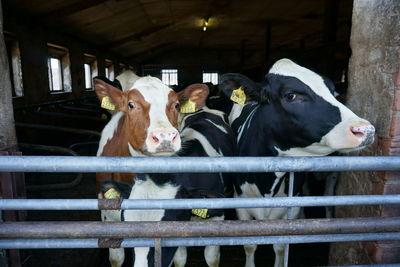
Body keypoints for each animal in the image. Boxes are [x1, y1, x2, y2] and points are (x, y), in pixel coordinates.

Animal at [219, 58, 376, 267]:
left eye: (334, 92)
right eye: (291, 95)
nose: (365, 130)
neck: (267, 184)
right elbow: (249, 245)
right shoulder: (240, 203)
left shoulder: (290, 208)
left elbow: (280, 245)